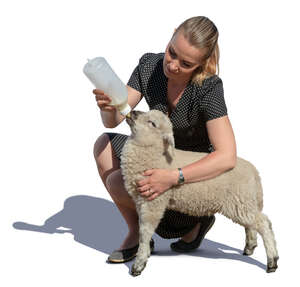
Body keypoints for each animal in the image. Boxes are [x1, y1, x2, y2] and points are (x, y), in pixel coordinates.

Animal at [120, 109, 278, 276]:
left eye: (152, 123)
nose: (133, 112)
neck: (154, 153)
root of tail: (254, 172)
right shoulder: (140, 200)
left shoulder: (153, 201)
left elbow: (144, 232)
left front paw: (139, 264)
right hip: (246, 199)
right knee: (251, 224)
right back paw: (250, 247)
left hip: (240, 201)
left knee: (263, 223)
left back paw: (272, 261)